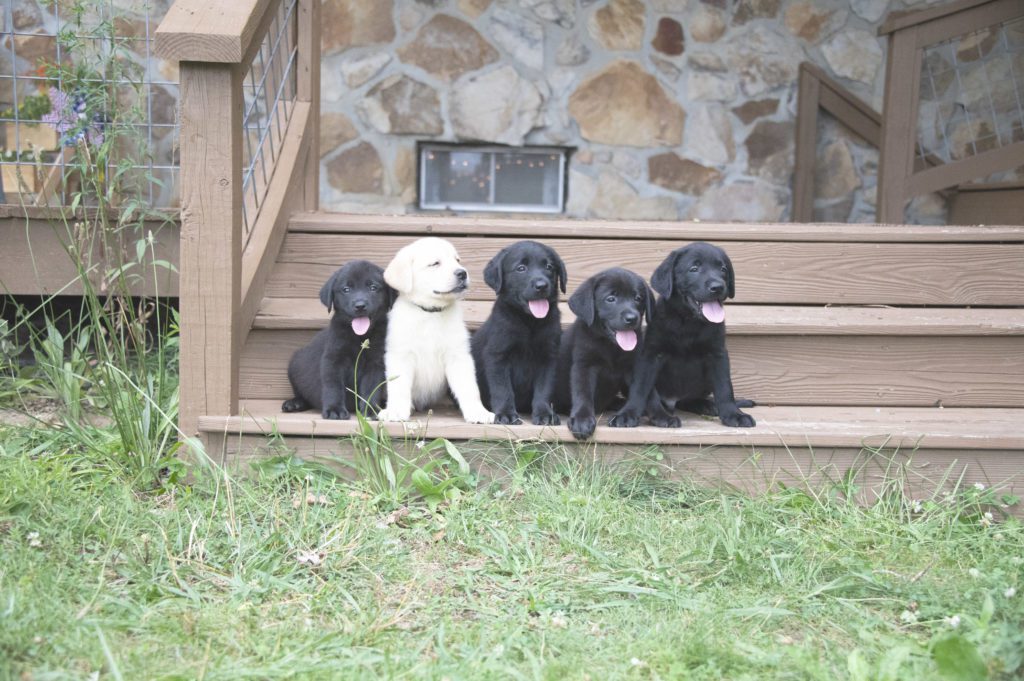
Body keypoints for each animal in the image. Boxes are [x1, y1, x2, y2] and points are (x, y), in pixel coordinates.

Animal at [282, 260, 393, 419]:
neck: (358, 336)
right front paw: (334, 409)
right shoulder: (333, 360)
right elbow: (333, 386)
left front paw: (370, 410)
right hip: (294, 365)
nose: (360, 305)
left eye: (373, 287)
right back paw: (295, 403)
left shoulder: (375, 363)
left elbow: (371, 389)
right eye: (346, 289)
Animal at [376, 236, 495, 421]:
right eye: (435, 263)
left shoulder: (458, 356)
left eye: (457, 260)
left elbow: (469, 387)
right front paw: (395, 410)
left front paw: (477, 412)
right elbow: (398, 386)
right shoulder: (400, 355)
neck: (431, 313)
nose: (462, 273)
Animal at [468, 238, 565, 421]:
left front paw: (545, 413)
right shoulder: (497, 356)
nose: (542, 285)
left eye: (549, 267)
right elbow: (502, 389)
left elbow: (544, 389)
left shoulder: (548, 357)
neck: (529, 322)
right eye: (521, 268)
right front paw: (506, 413)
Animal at [552, 268, 655, 438]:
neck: (611, 346)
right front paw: (582, 420)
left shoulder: (634, 367)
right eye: (610, 299)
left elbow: (637, 392)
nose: (632, 318)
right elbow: (583, 392)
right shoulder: (584, 365)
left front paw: (627, 415)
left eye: (638, 298)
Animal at [606, 241, 753, 428]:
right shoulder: (651, 354)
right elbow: (640, 387)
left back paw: (707, 405)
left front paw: (734, 414)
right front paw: (628, 414)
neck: (688, 322)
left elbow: (725, 387)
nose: (718, 287)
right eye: (694, 269)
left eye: (723, 269)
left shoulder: (718, 353)